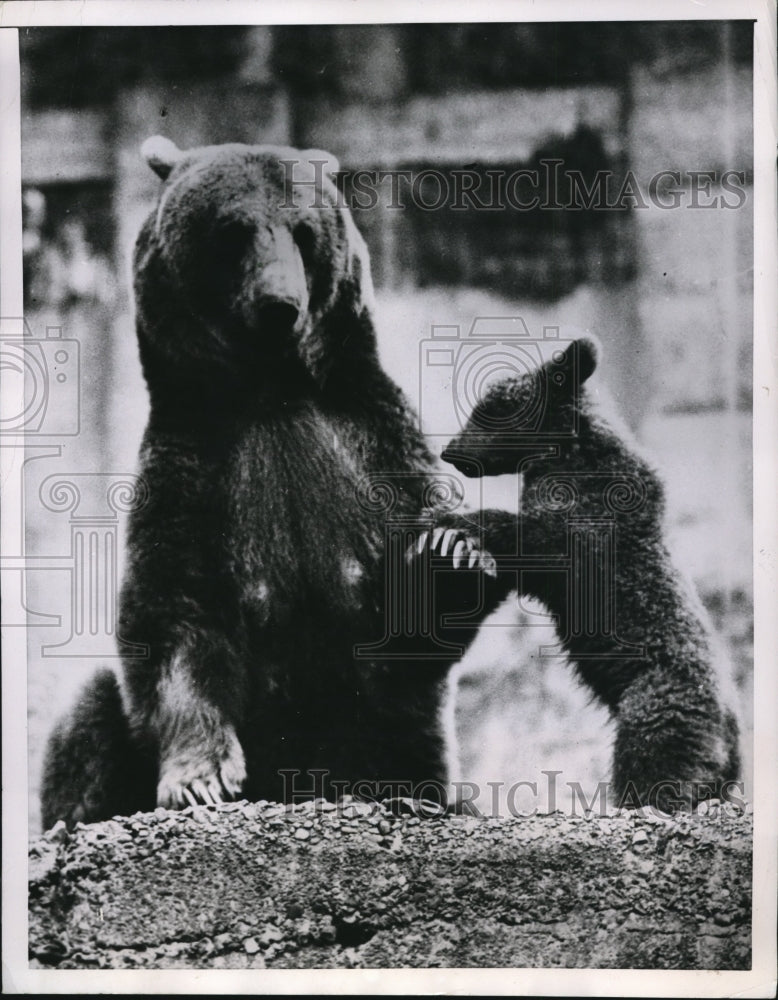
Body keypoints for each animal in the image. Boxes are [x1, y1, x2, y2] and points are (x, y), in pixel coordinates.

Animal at [40, 137, 516, 830]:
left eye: (303, 232)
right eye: (233, 232)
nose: (279, 304)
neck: (272, 388)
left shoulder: (374, 446)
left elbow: (410, 624)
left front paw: (453, 554)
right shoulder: (197, 465)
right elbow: (173, 616)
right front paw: (201, 779)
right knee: (89, 720)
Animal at [439, 335, 743, 814]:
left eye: (492, 408)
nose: (450, 451)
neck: (567, 455)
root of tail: (733, 740)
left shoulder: (588, 521)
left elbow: (538, 538)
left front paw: (458, 521)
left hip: (658, 704)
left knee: (653, 763)